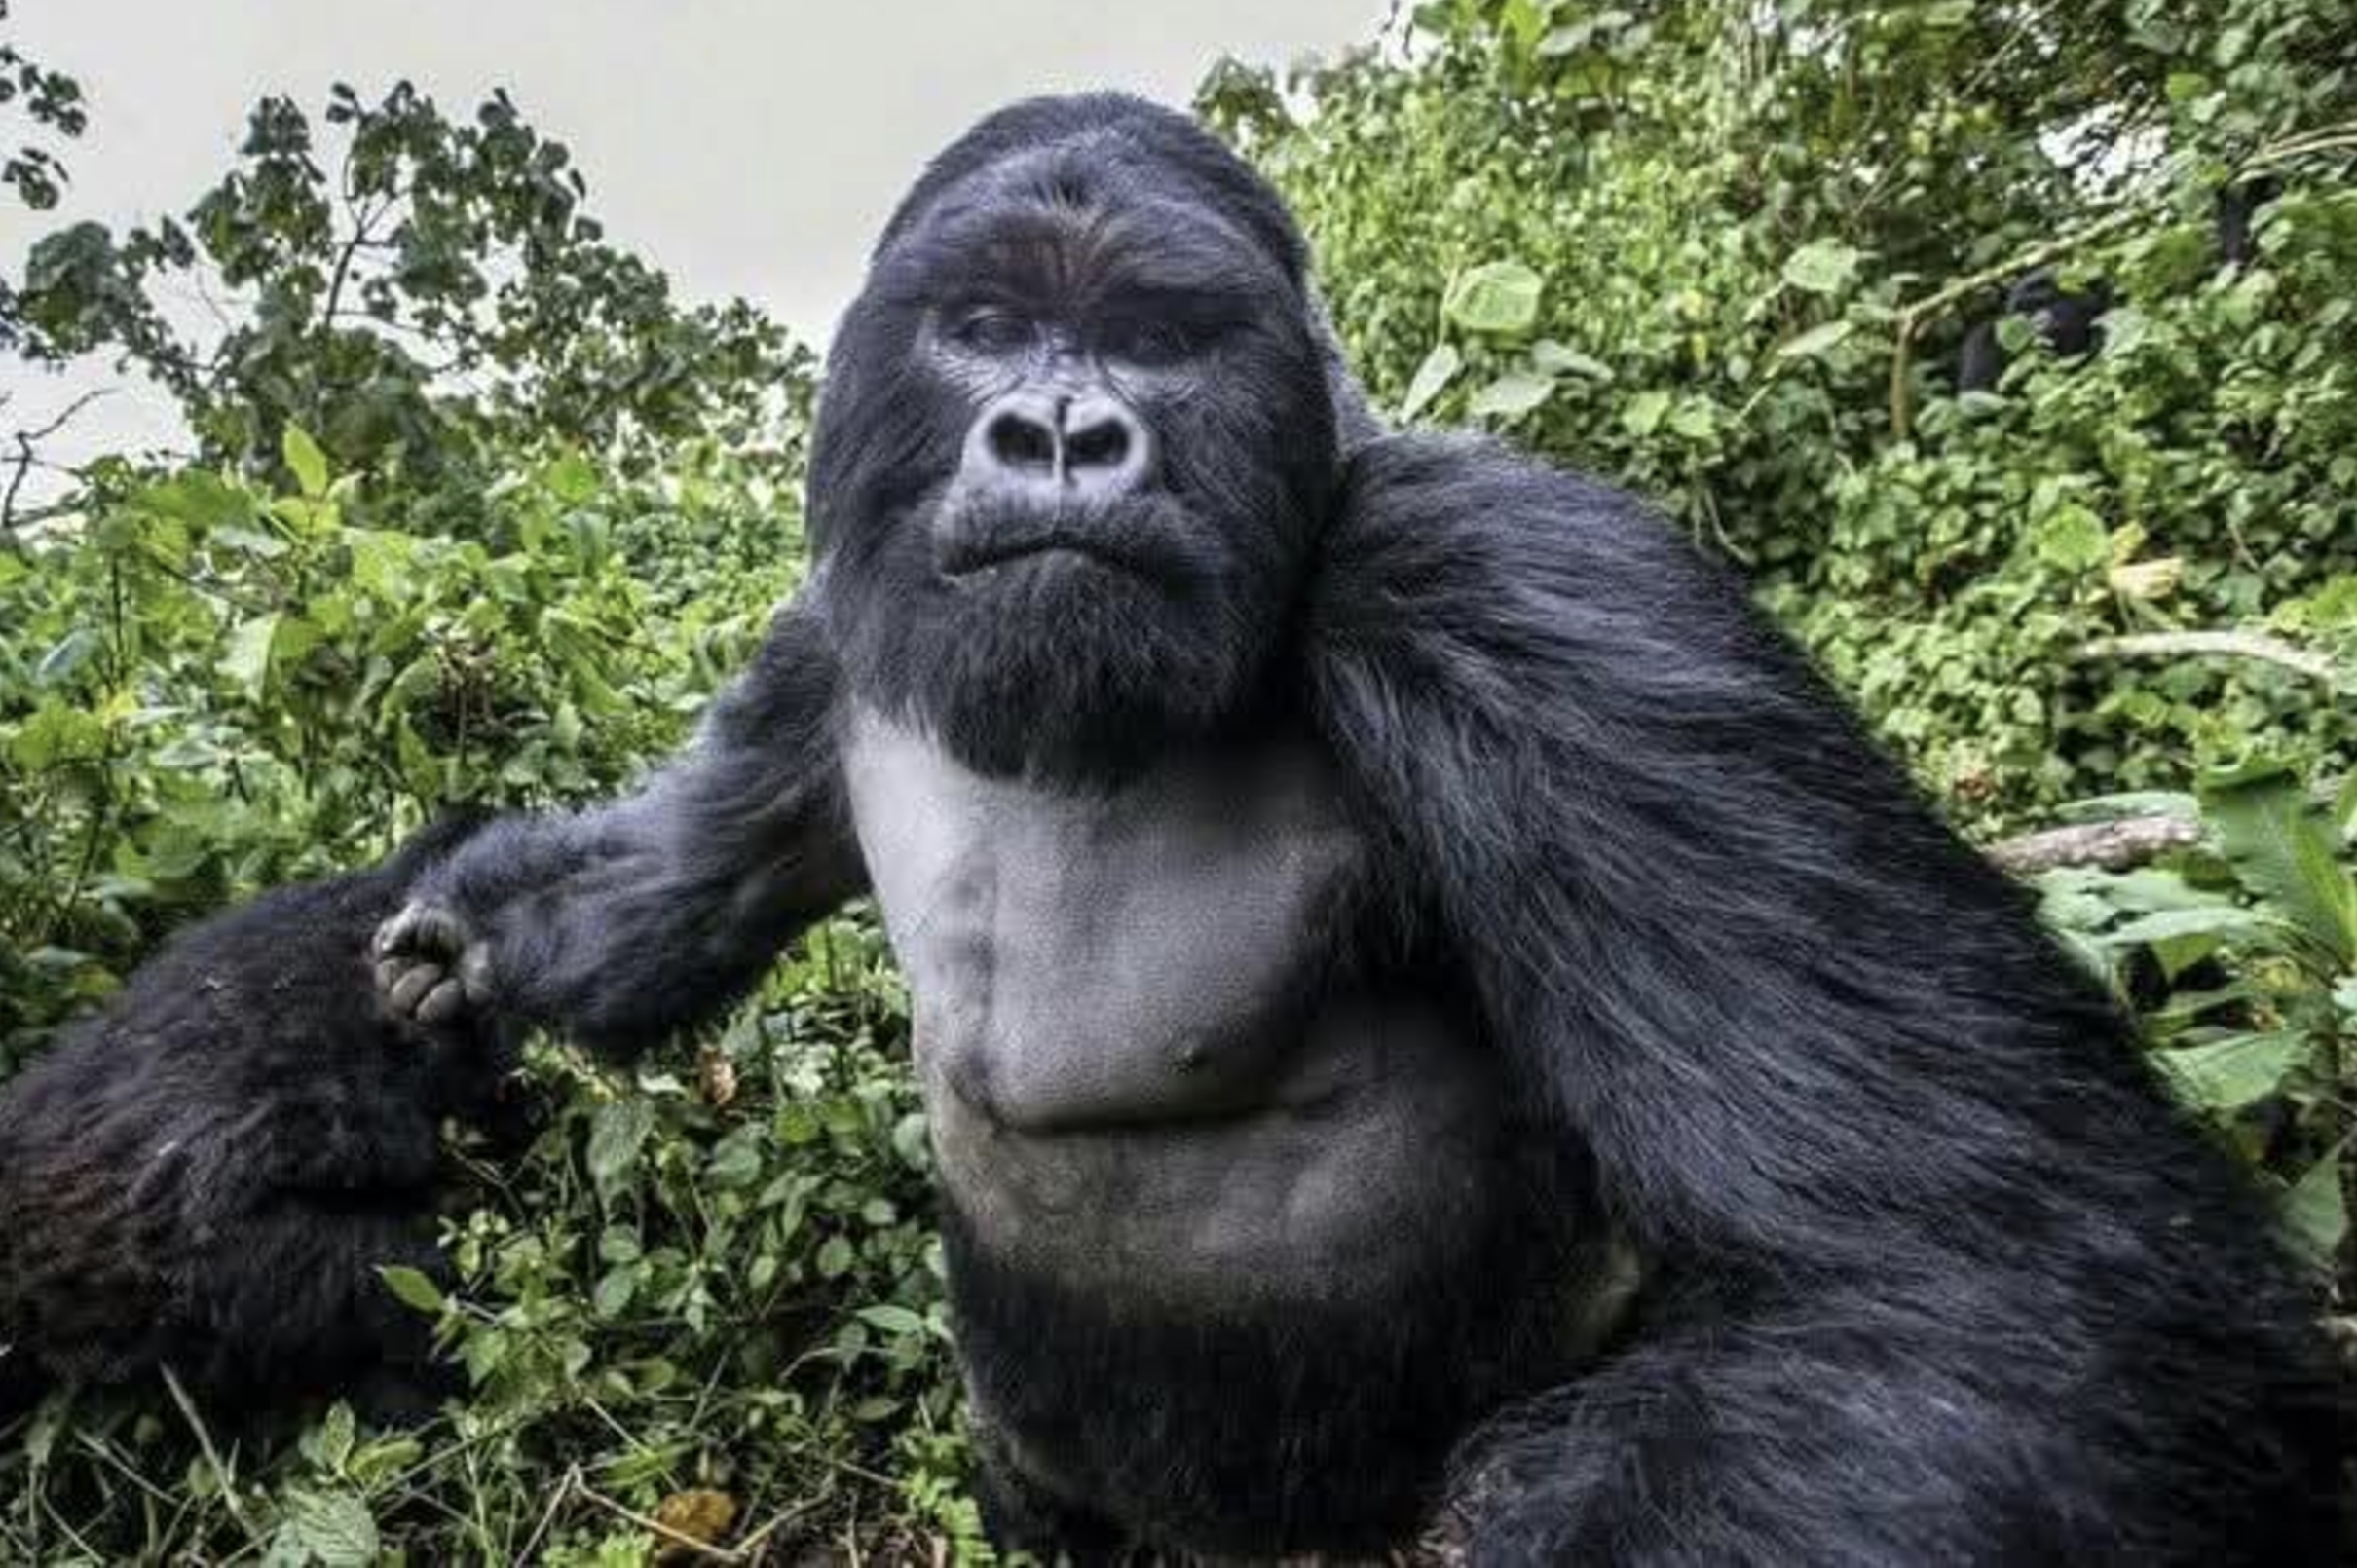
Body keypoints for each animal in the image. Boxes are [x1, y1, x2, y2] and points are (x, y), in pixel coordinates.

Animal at [377, 94, 2347, 1565]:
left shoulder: (1517, 586)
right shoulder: (823, 644)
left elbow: (1984, 1271)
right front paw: (469, 946)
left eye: (1163, 339)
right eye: (988, 325)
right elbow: (681, 881)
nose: (1061, 433)